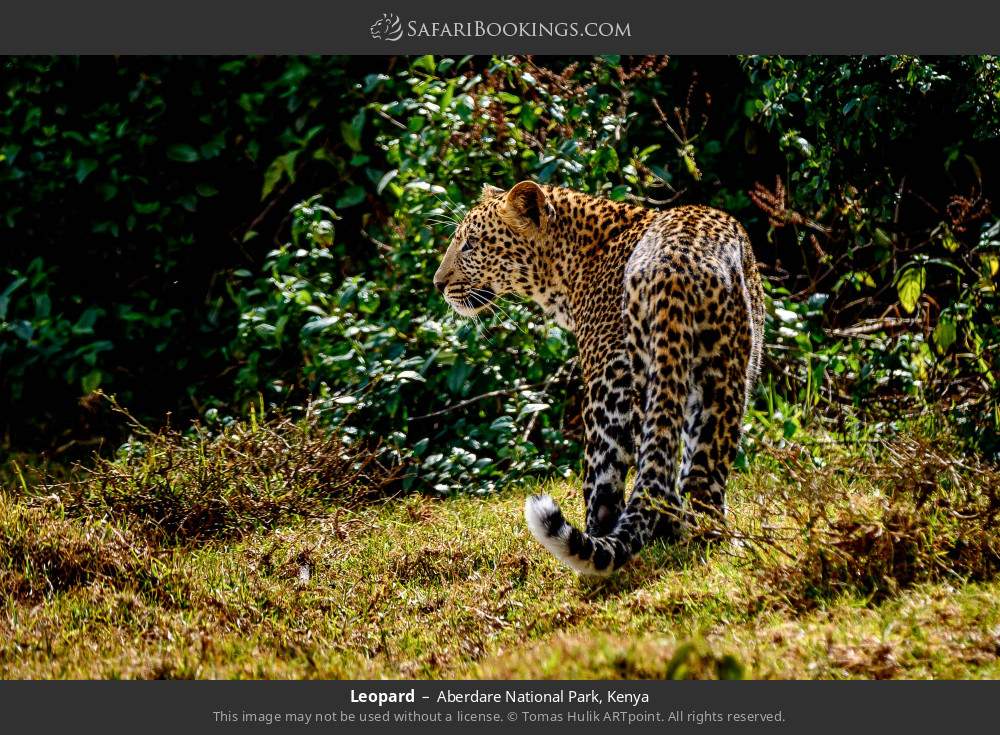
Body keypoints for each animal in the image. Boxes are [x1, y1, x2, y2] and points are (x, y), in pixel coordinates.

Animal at [432, 183, 764, 576]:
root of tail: (675, 267)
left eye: (470, 244)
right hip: (716, 374)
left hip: (620, 383)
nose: (438, 283)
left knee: (605, 478)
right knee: (693, 471)